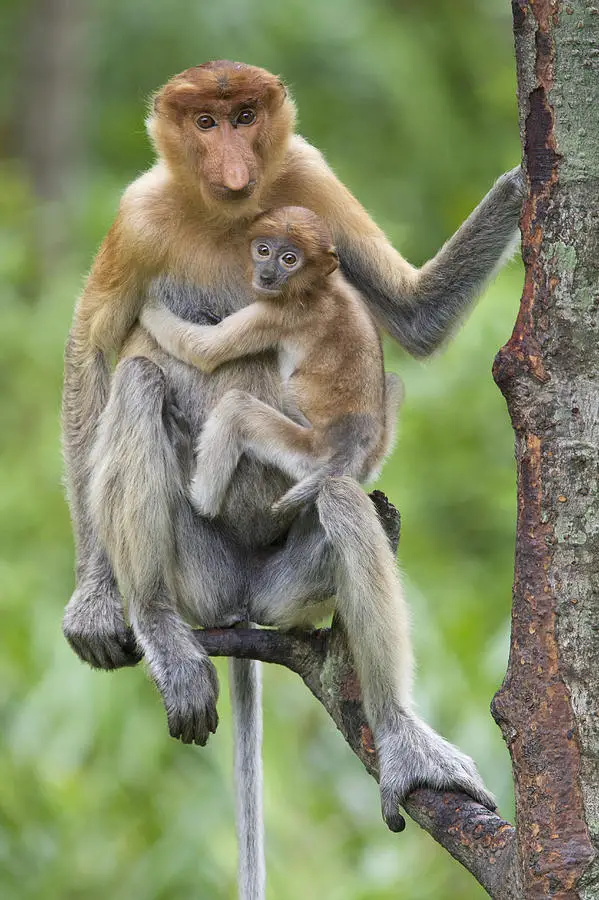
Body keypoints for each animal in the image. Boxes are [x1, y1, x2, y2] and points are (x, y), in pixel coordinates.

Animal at [142, 203, 400, 512]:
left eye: (289, 259)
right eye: (263, 250)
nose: (266, 275)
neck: (319, 287)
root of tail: (352, 452)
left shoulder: (282, 312)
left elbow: (204, 350)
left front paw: (147, 306)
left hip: (309, 454)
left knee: (236, 409)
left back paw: (199, 499)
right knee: (395, 381)